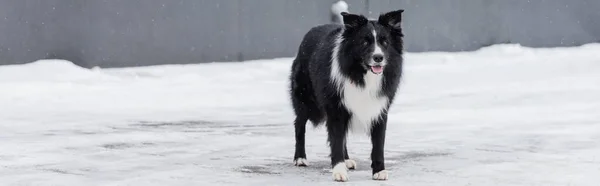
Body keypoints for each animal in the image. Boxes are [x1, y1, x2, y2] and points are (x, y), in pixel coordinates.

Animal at [290, 9, 406, 182]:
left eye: (385, 42)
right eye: (365, 42)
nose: (378, 57)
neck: (362, 75)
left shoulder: (379, 109)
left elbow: (378, 144)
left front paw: (379, 170)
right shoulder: (336, 109)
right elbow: (336, 139)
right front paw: (339, 170)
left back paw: (347, 160)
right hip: (306, 100)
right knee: (299, 124)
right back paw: (300, 158)